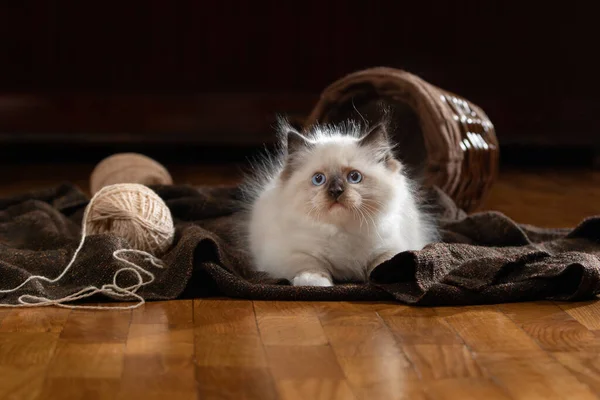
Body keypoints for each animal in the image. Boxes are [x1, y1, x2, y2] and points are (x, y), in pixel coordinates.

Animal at [238, 117, 436, 286]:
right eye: (319, 179)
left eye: (354, 177)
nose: (336, 191)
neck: (343, 232)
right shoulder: (289, 253)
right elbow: (309, 265)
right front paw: (315, 282)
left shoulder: (391, 247)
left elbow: (386, 261)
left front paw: (385, 274)